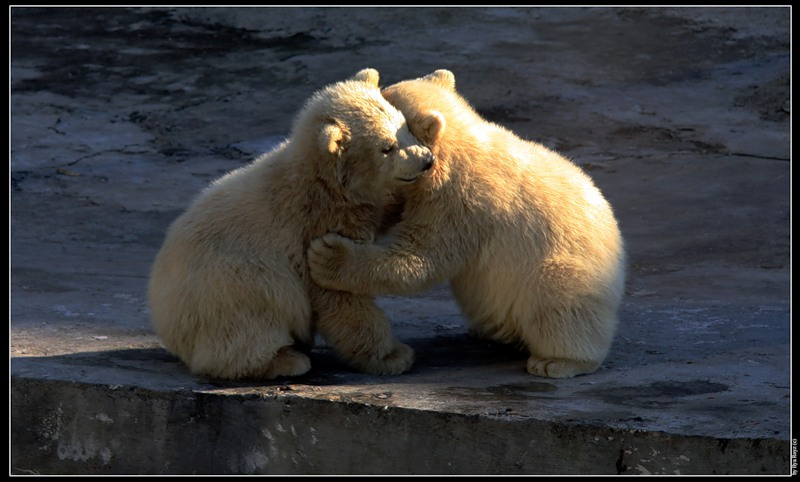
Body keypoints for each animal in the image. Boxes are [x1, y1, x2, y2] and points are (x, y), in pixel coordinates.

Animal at [147, 68, 435, 380]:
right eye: (387, 147)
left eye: (403, 126)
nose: (427, 160)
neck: (321, 181)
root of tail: (166, 322)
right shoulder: (316, 225)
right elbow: (340, 297)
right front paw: (393, 356)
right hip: (227, 289)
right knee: (254, 309)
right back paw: (286, 360)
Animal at [308, 69, 626, 378]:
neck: (460, 148)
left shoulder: (462, 201)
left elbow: (422, 254)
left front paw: (328, 256)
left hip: (566, 265)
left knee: (559, 296)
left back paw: (556, 361)